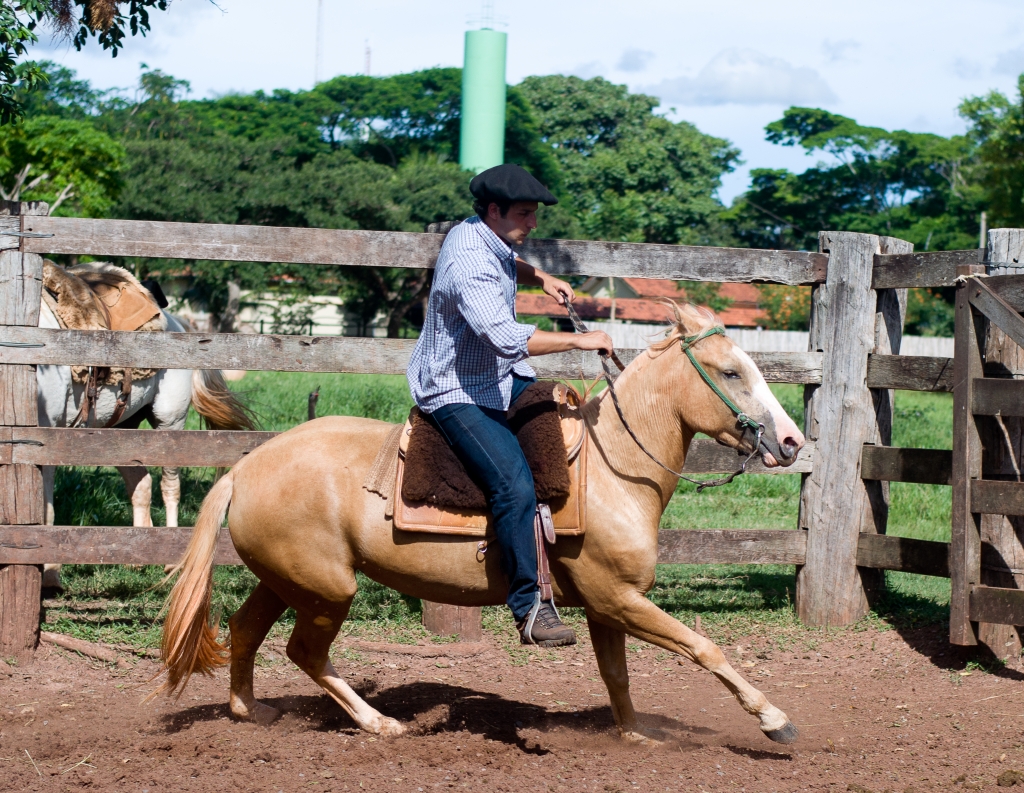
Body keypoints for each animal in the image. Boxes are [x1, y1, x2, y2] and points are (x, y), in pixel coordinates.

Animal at [157, 305, 806, 745]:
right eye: (730, 372)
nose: (791, 442)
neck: (611, 467)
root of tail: (244, 469)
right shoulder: (617, 599)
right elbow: (704, 647)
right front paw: (775, 719)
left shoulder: (608, 607)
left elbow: (617, 675)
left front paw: (634, 735)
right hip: (327, 591)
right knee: (305, 652)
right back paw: (380, 723)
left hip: (286, 582)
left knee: (244, 630)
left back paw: (250, 711)